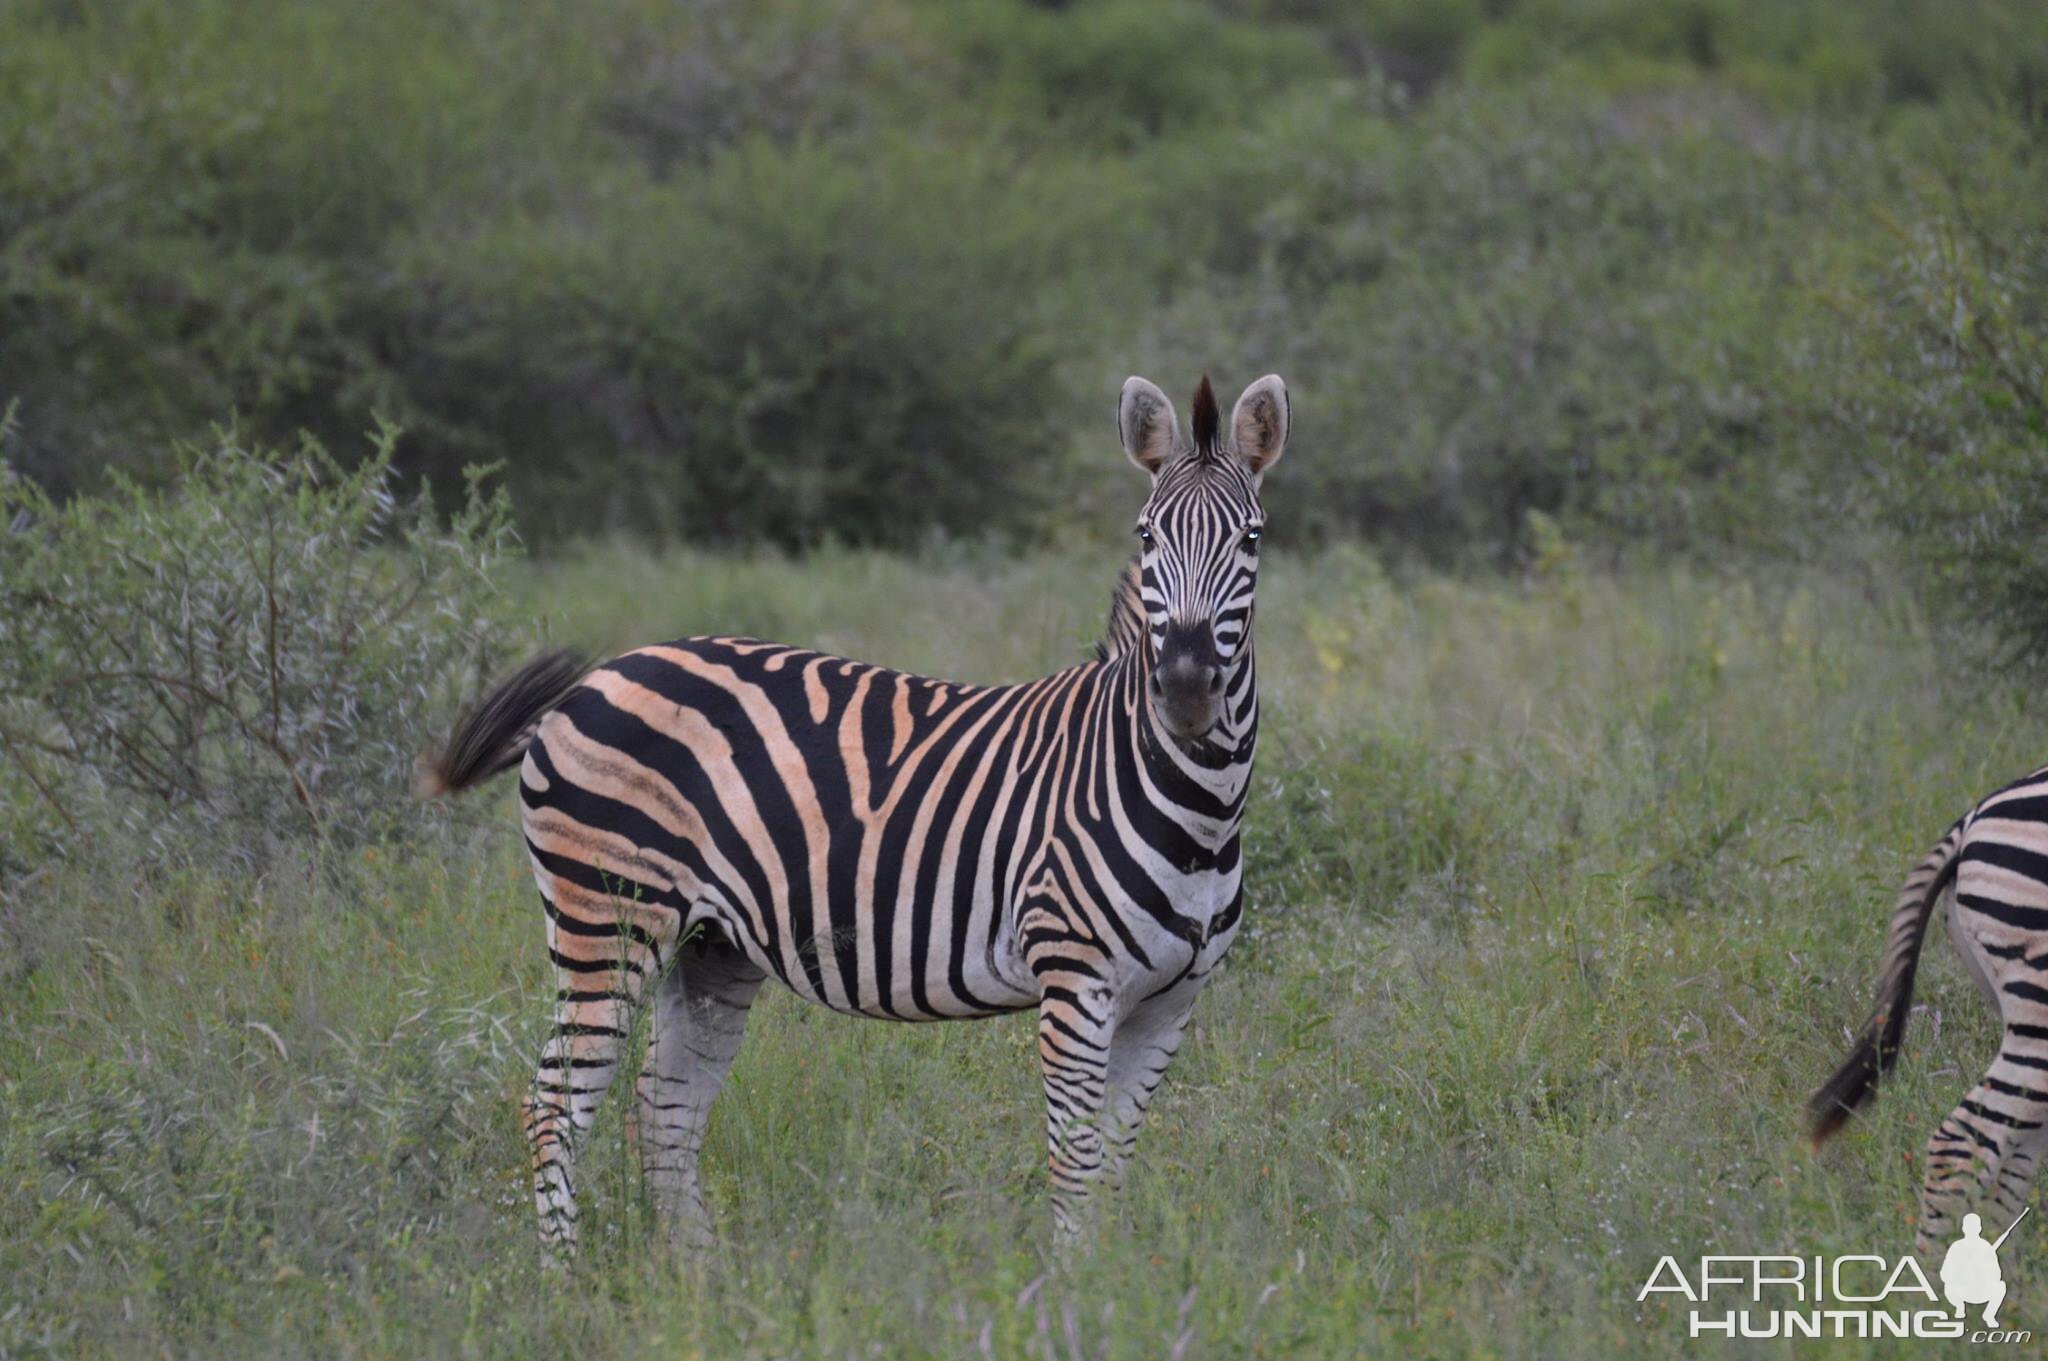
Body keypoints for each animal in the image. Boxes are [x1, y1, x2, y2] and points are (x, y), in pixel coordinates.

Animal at [425, 368, 1294, 1252]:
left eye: (1252, 541)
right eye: (1147, 536)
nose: (1184, 689)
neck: (1197, 810)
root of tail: (594, 678)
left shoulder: (1170, 1002)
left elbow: (1112, 1168)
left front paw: (1113, 1276)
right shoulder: (1075, 981)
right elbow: (1076, 1164)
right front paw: (1070, 1284)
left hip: (710, 944)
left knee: (664, 1109)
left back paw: (698, 1278)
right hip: (608, 919)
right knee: (553, 1105)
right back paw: (566, 1276)